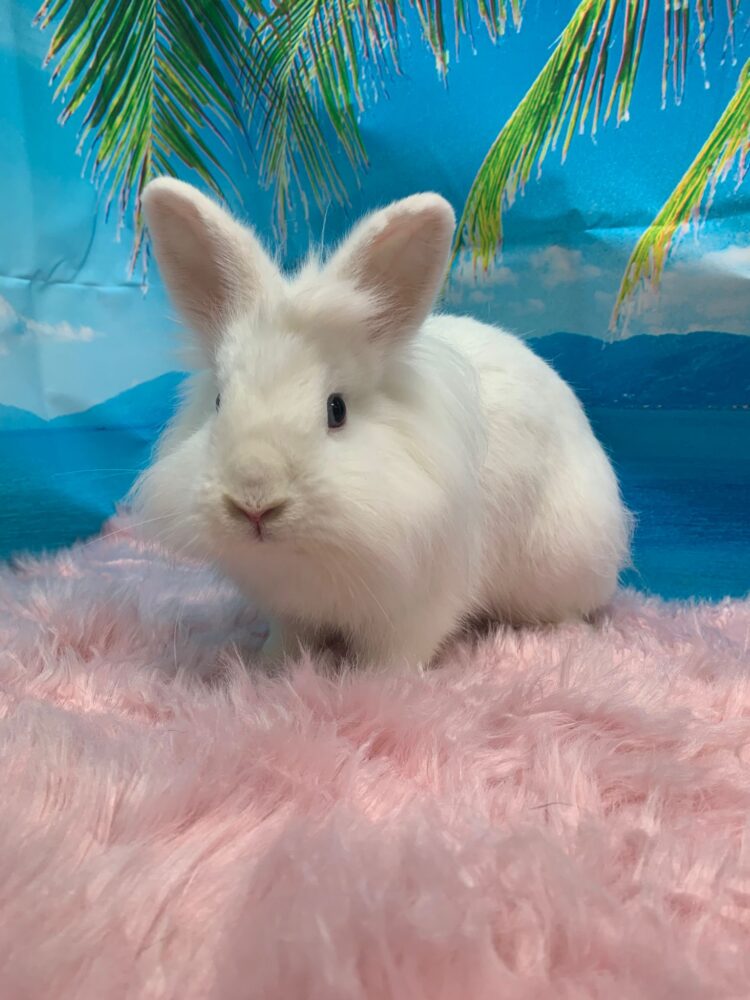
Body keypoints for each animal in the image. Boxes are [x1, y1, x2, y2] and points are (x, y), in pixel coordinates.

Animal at [132, 177, 631, 670]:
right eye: (219, 401)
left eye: (337, 410)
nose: (255, 502)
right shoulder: (288, 609)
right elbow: (288, 638)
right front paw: (268, 667)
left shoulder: (420, 606)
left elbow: (396, 656)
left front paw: (378, 684)